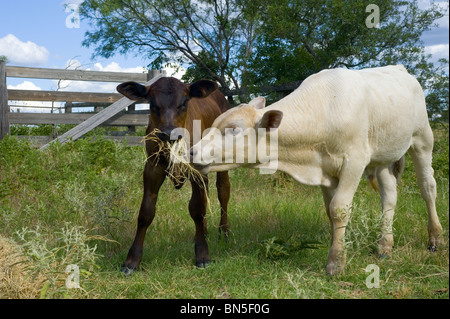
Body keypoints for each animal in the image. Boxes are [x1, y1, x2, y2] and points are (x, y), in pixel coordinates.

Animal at [118, 76, 230, 274]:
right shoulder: (152, 167)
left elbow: (197, 208)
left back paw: (223, 232)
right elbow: (146, 212)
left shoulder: (194, 168)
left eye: (184, 102)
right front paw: (132, 260)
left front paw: (202, 254)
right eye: (152, 103)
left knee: (223, 191)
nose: (169, 132)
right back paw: (204, 231)